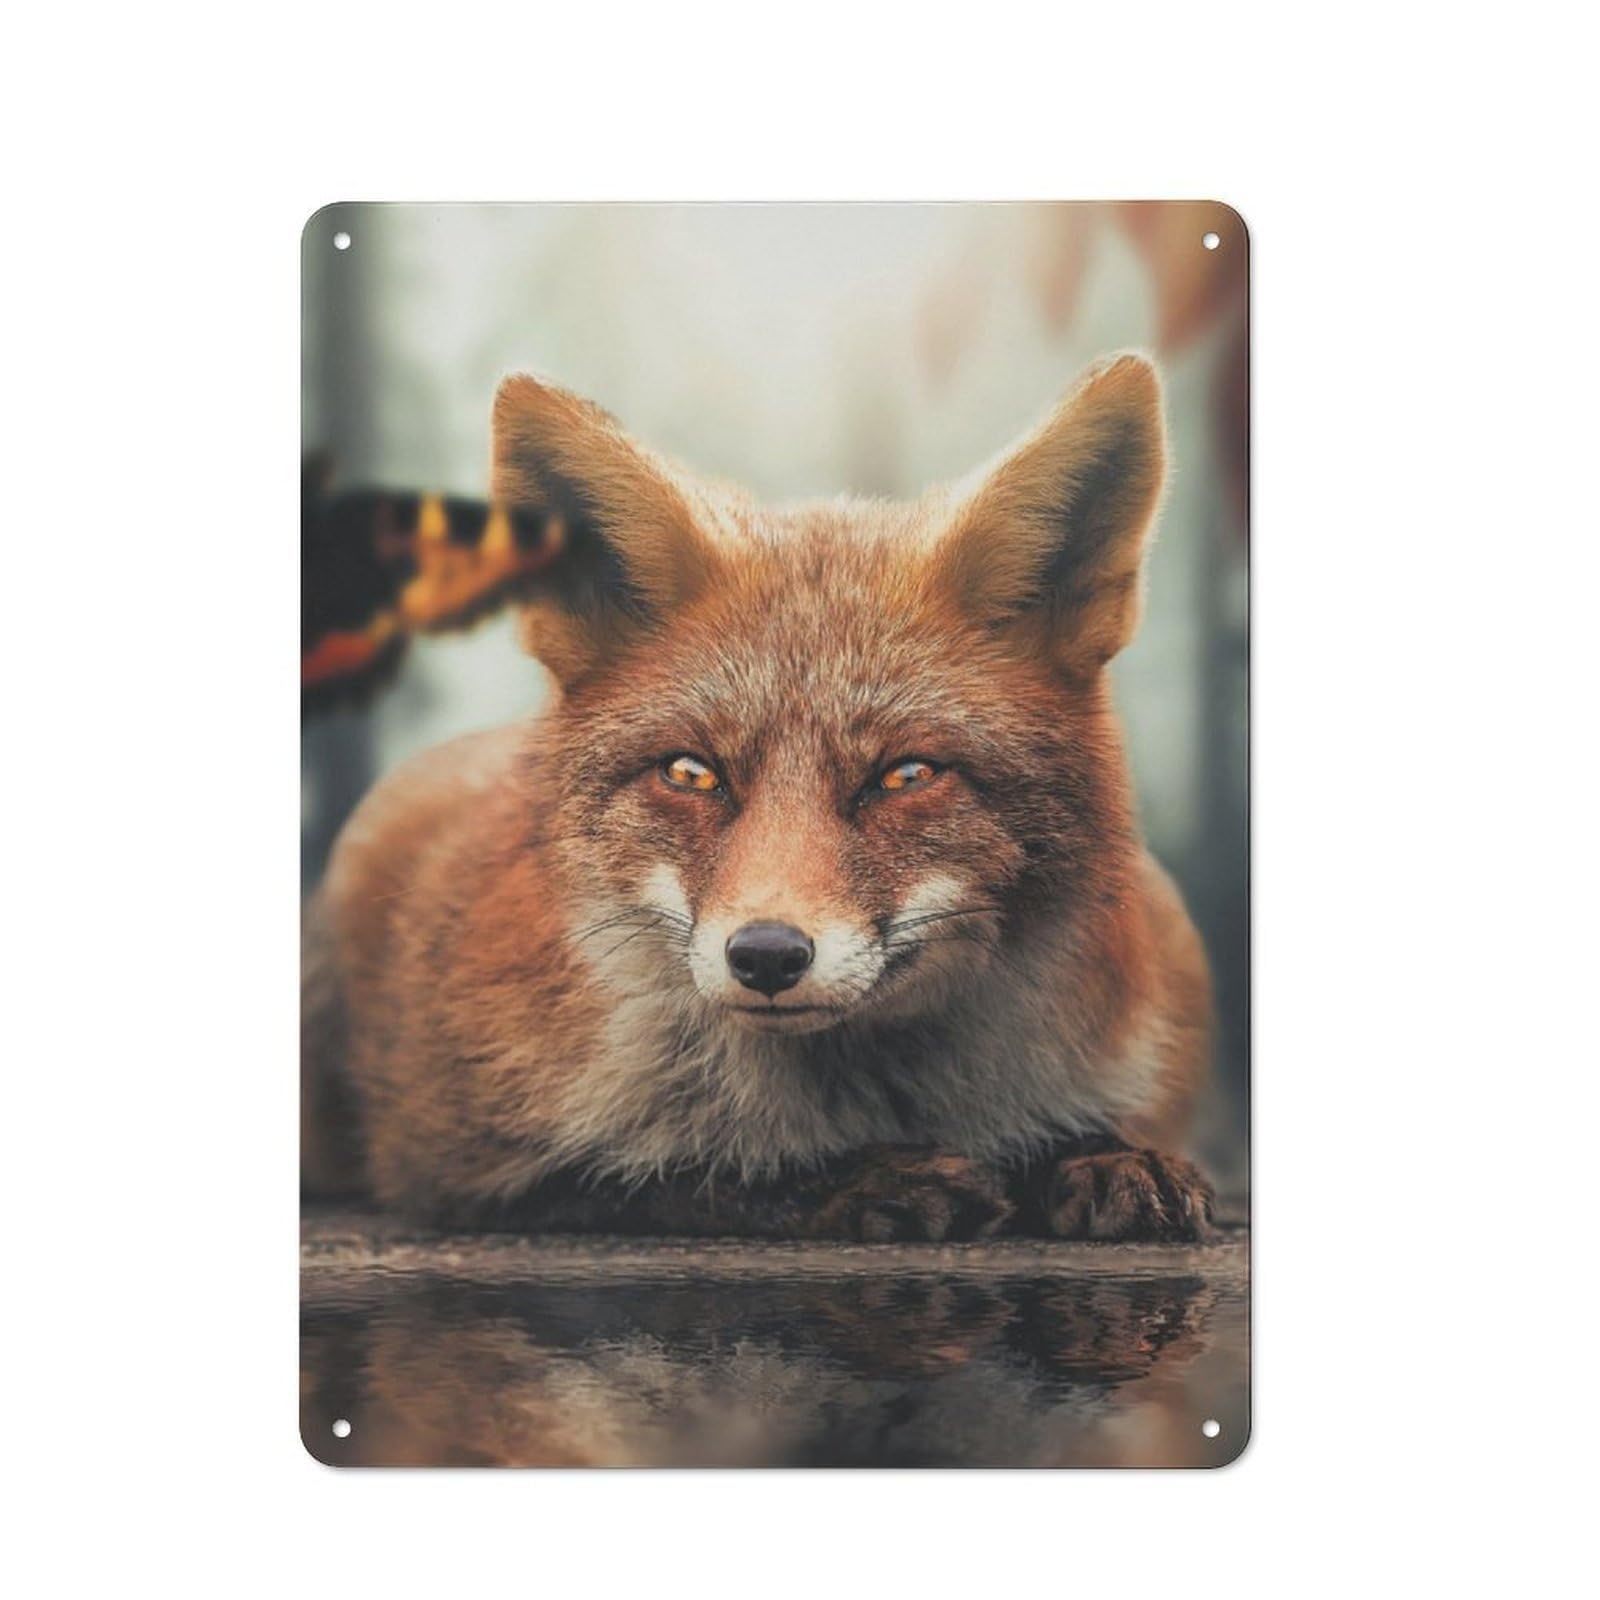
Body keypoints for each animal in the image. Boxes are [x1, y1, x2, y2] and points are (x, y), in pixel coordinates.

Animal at [301, 352, 1216, 1242]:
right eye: (691, 773)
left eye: (906, 776)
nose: (768, 955)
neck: (881, 1093)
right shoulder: (460, 1164)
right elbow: (677, 1174)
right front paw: (855, 1178)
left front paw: (1098, 1151)